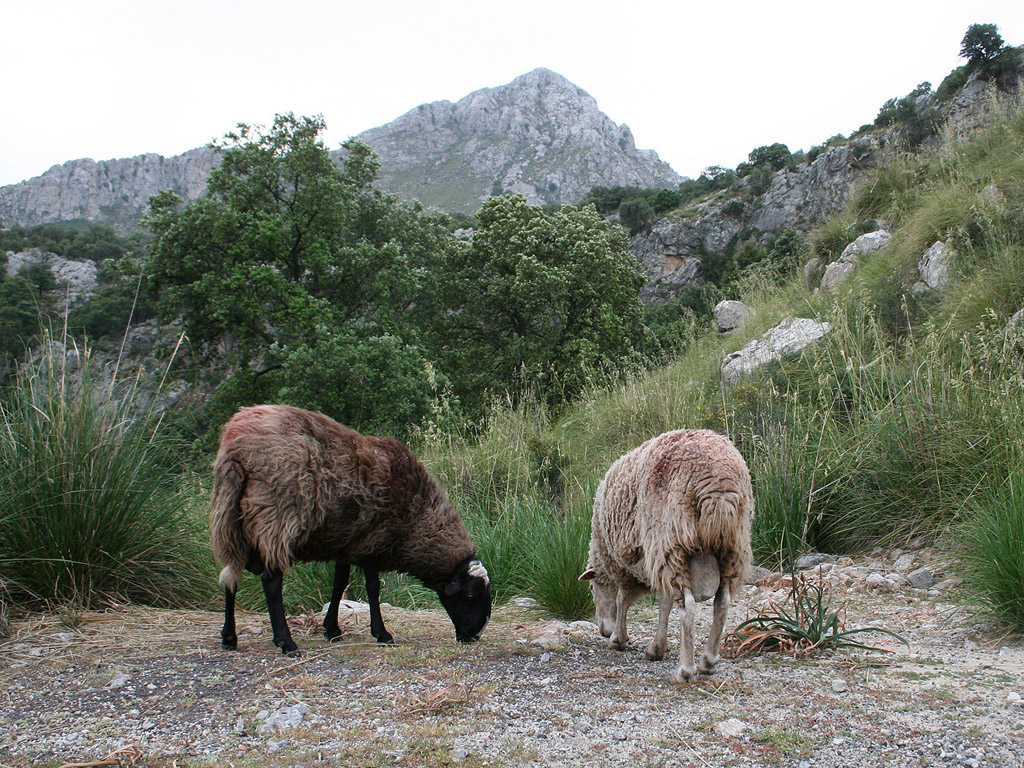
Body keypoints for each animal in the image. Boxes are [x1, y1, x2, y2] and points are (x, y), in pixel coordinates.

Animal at [209, 403, 489, 655]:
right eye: (471, 594)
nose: (474, 635)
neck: (417, 517)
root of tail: (238, 446)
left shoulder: (346, 542)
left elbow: (339, 583)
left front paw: (332, 630)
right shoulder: (374, 541)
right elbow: (373, 588)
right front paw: (382, 634)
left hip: (229, 516)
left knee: (230, 575)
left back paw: (229, 638)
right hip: (276, 516)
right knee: (271, 581)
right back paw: (286, 643)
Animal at [581, 430, 757, 684]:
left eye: (592, 588)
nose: (603, 631)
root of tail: (719, 480)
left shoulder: (624, 561)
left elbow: (622, 600)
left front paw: (618, 638)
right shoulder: (655, 559)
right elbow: (664, 603)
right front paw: (656, 648)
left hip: (671, 537)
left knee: (689, 606)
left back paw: (685, 669)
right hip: (732, 545)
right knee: (722, 601)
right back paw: (708, 661)